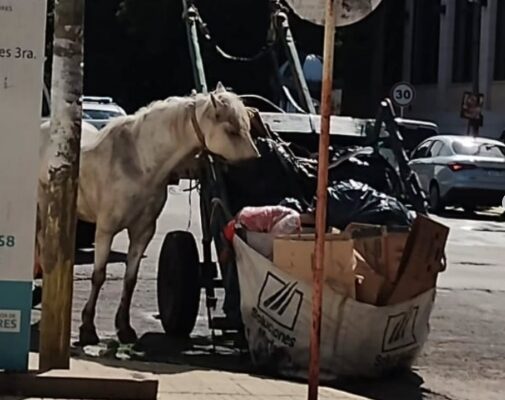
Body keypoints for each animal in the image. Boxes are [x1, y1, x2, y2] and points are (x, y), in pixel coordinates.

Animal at [38, 83, 260, 344]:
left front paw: (124, 328)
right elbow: (99, 275)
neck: (138, 162)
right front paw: (87, 329)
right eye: (230, 130)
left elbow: (130, 279)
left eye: (247, 126)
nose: (256, 161)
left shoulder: (143, 230)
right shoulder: (106, 230)